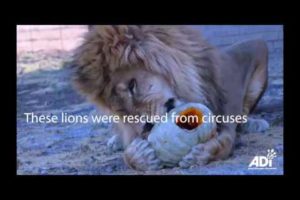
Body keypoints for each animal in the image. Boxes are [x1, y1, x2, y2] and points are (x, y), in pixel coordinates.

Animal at [71, 25, 268, 170]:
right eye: (121, 110)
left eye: (132, 87)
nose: (147, 126)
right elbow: (128, 154)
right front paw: (140, 156)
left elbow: (226, 141)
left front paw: (201, 153)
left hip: (259, 50)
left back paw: (254, 123)